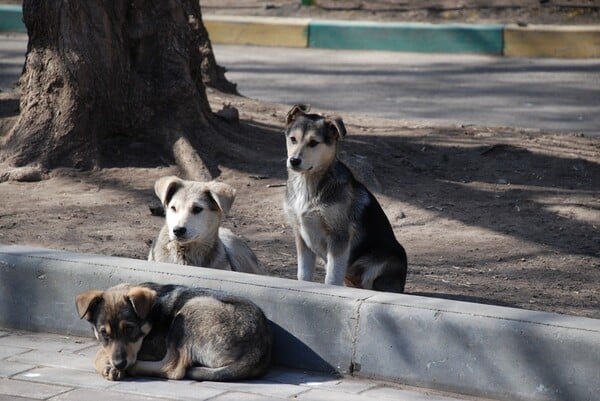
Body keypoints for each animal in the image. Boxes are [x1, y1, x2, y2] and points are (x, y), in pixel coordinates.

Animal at [76, 282, 274, 382]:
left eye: (130, 329)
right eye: (104, 333)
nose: (119, 364)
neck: (151, 314)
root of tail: (258, 352)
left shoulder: (152, 347)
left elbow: (99, 353)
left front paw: (108, 366)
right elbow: (102, 349)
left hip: (191, 309)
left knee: (173, 368)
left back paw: (132, 369)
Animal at [282, 103, 406, 292]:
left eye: (313, 143)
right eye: (293, 139)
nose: (294, 161)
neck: (308, 184)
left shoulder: (339, 237)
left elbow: (332, 278)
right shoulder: (301, 236)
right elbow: (303, 274)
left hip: (382, 261)